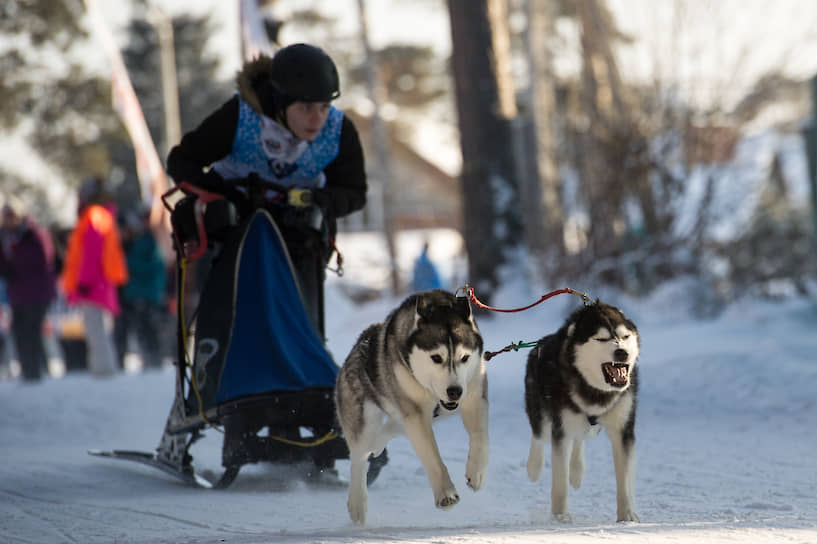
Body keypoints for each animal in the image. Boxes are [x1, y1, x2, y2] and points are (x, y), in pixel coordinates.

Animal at [334, 288, 488, 524]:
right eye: (436, 357)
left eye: (464, 357)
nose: (454, 391)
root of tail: (360, 343)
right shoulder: (415, 414)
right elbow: (432, 456)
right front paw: (446, 493)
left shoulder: (474, 394)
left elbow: (480, 436)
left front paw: (477, 471)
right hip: (363, 418)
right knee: (358, 457)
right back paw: (358, 504)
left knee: (389, 430)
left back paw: (379, 443)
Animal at [524, 302, 640, 524]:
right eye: (601, 338)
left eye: (625, 336)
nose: (622, 353)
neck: (595, 390)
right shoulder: (561, 429)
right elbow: (560, 481)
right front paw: (560, 516)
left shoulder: (623, 430)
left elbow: (625, 480)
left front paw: (627, 515)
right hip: (541, 412)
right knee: (539, 435)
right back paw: (534, 467)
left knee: (580, 438)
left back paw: (577, 470)